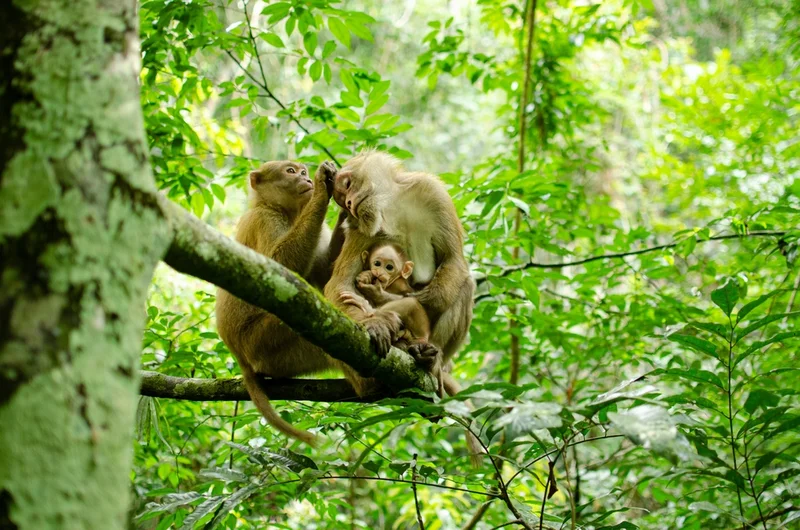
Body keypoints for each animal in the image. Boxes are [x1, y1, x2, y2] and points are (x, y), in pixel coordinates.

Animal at [215, 160, 344, 446]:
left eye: (302, 171)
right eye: (291, 172)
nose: (306, 178)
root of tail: (240, 356)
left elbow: (326, 274)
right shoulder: (263, 220)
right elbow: (279, 266)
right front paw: (322, 189)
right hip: (262, 344)